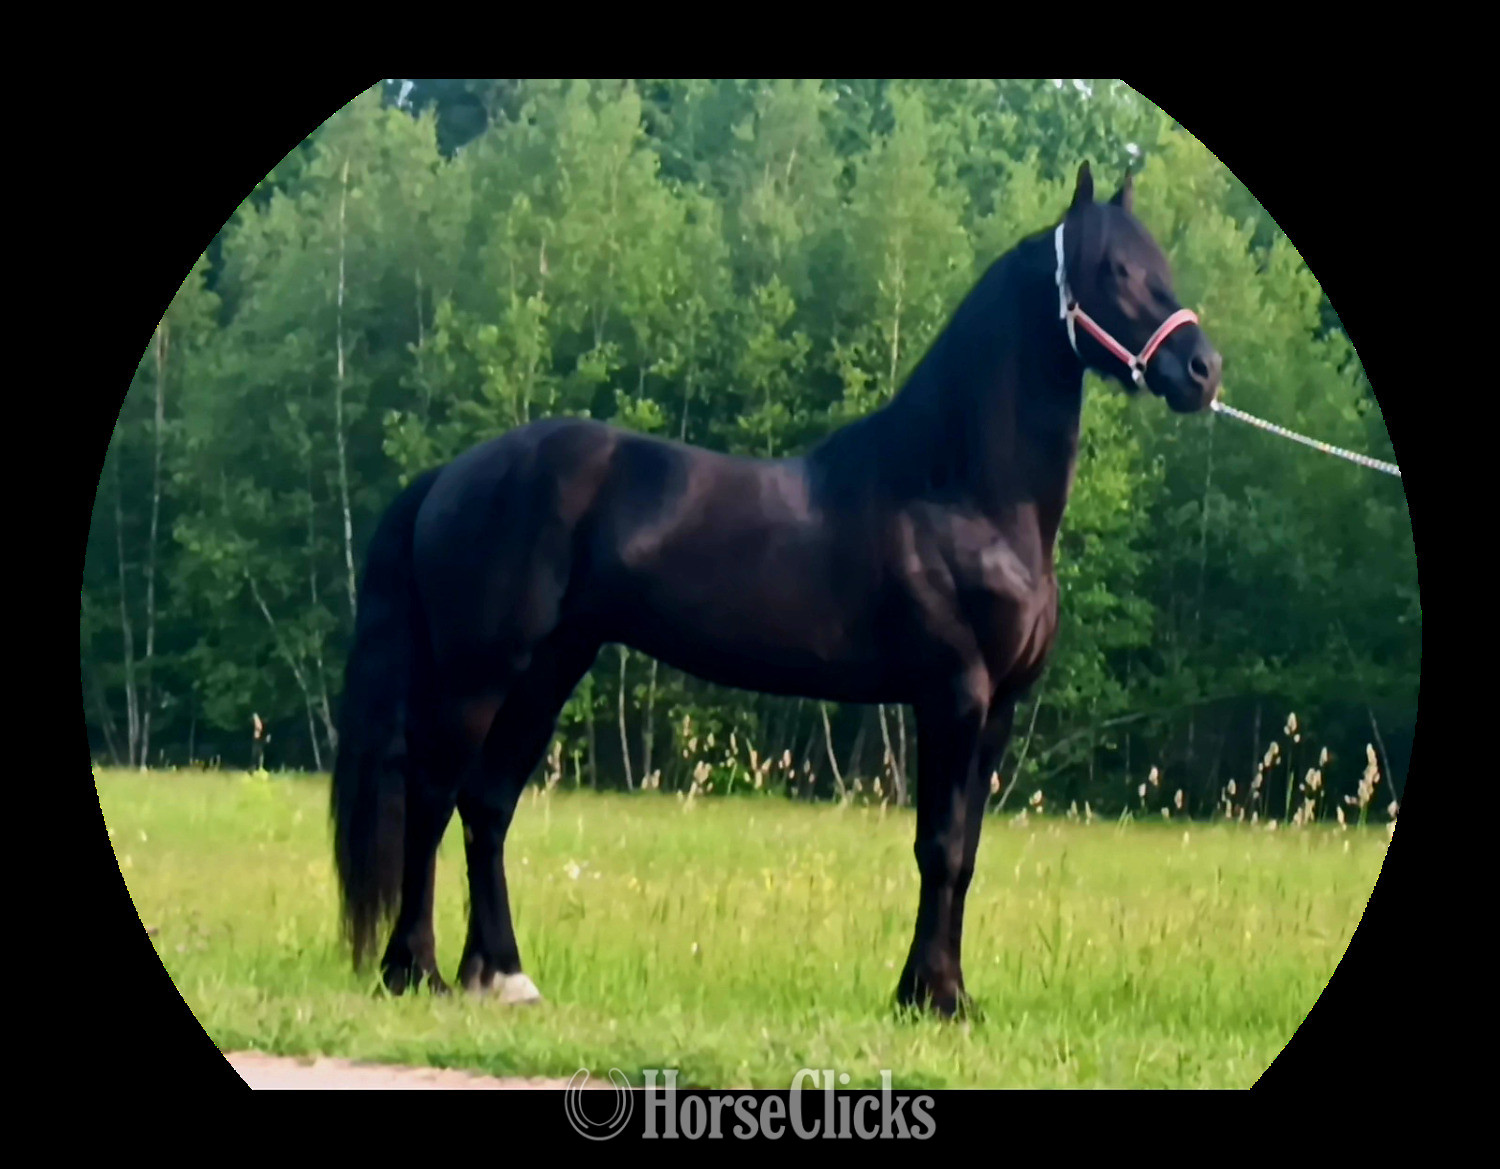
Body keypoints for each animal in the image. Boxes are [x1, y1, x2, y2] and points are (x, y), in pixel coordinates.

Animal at [330, 161, 1222, 1017]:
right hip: (479, 673)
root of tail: (451, 472)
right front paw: (930, 997)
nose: (1202, 369)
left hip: (550, 668)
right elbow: (938, 847)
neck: (963, 492)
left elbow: (964, 852)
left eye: (1163, 262)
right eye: (1115, 268)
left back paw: (502, 975)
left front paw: (946, 990)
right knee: (431, 795)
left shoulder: (997, 709)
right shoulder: (952, 695)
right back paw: (414, 969)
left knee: (486, 806)